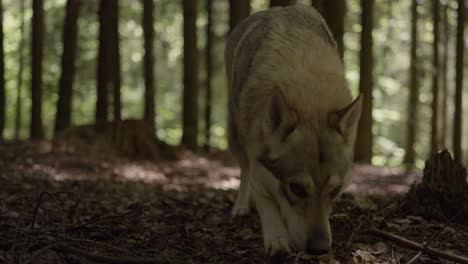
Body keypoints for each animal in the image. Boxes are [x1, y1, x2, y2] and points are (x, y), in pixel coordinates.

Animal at [226, 4, 362, 256]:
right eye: (297, 188)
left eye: (335, 190)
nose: (320, 249)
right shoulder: (256, 159)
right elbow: (266, 202)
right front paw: (277, 240)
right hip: (235, 139)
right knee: (244, 173)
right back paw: (240, 206)